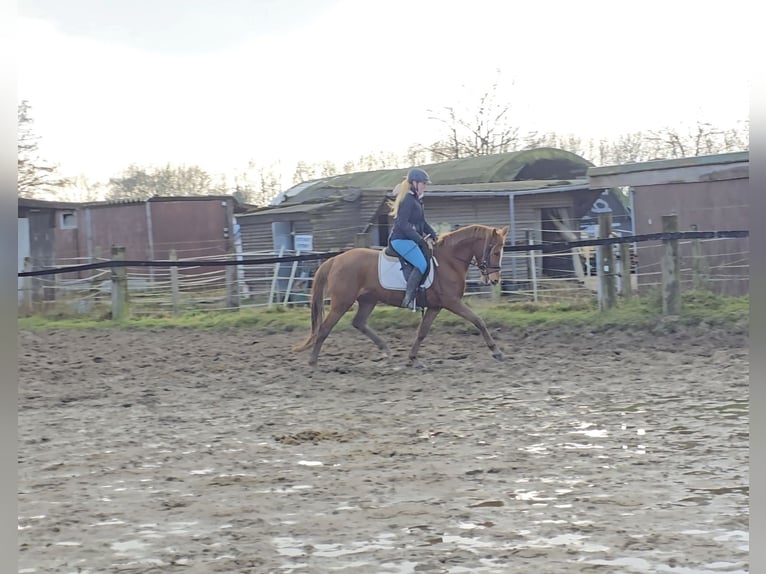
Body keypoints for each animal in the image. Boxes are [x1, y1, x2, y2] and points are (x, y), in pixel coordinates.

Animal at [294, 223, 510, 366]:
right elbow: (478, 321)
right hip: (342, 303)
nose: (495, 280)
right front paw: (497, 351)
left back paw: (385, 349)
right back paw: (313, 361)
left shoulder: (436, 306)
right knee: (324, 328)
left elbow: (422, 332)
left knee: (359, 322)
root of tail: (335, 260)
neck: (449, 260)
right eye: (496, 252)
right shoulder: (452, 302)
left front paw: (413, 359)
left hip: (368, 300)